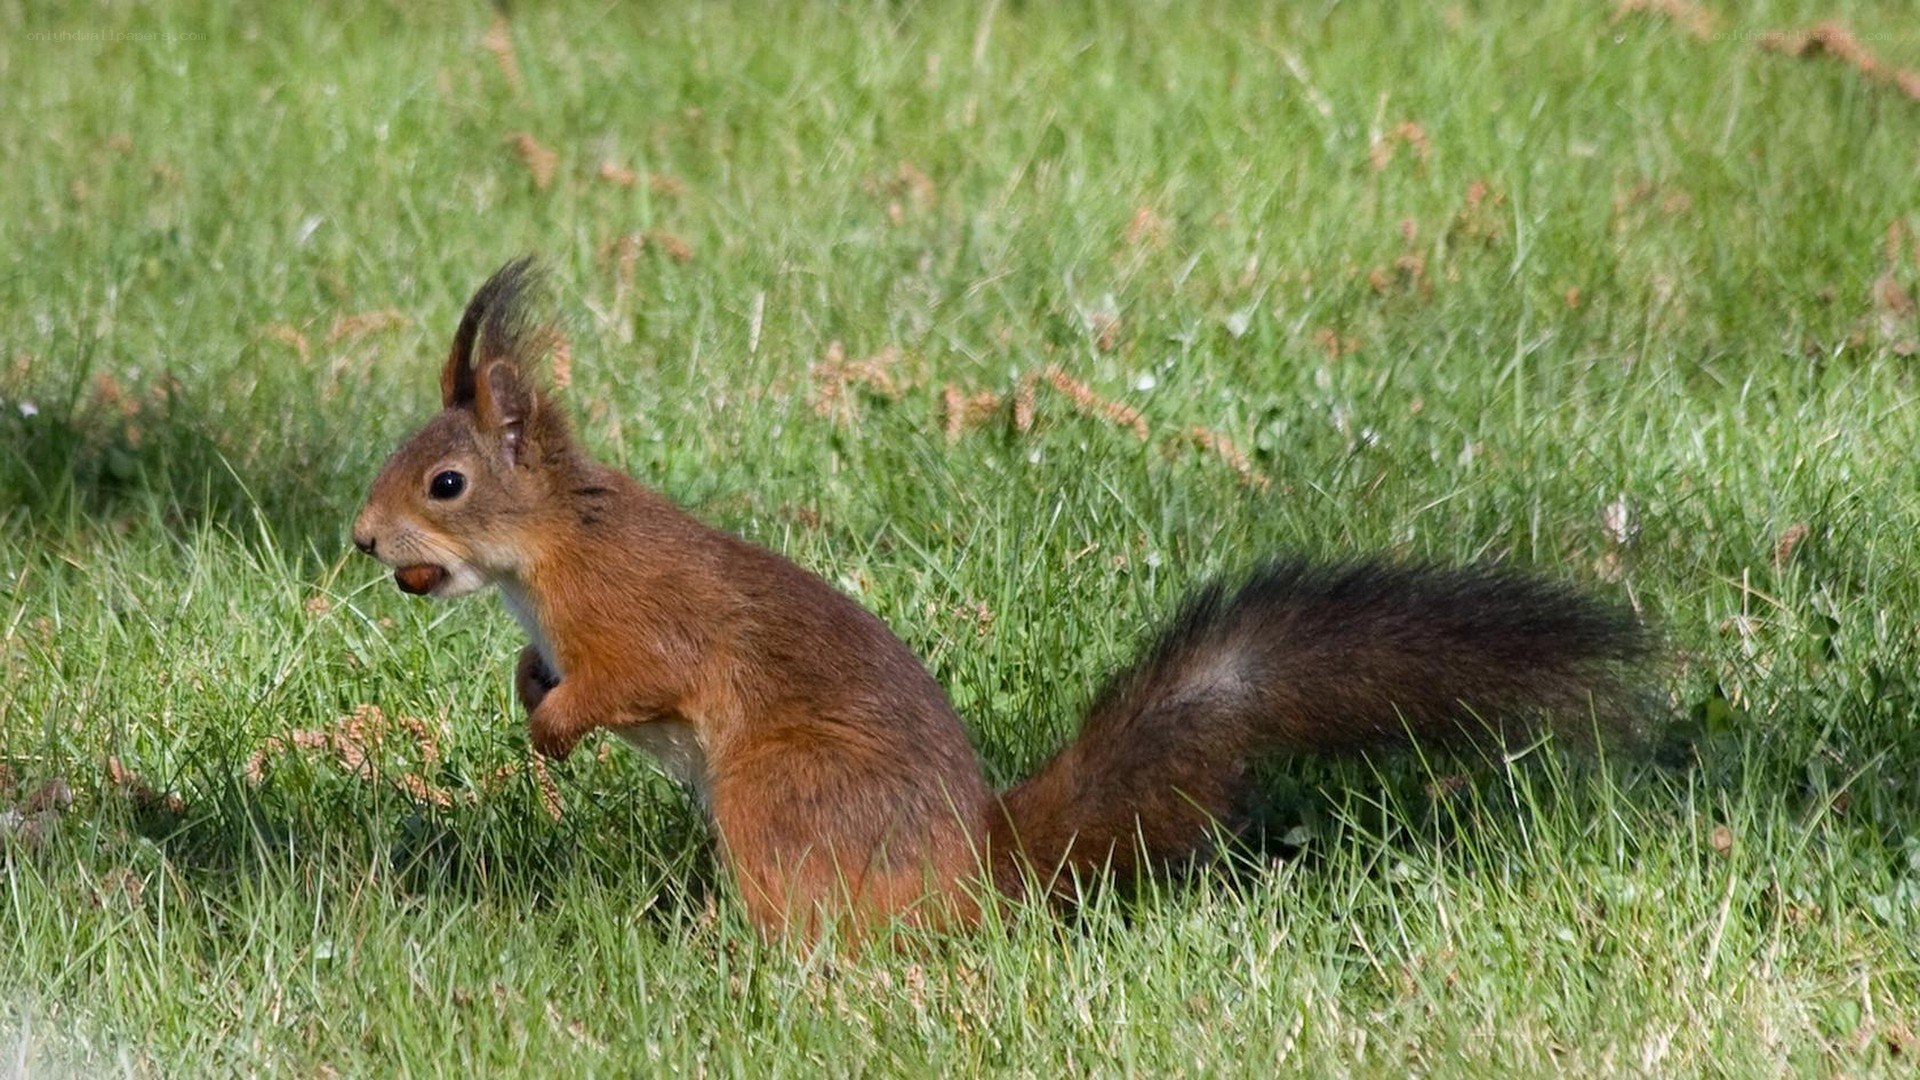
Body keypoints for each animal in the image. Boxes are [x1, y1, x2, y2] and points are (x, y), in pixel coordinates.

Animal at [352, 259, 1651, 940]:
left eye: (446, 483)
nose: (364, 540)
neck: (551, 547)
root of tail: (978, 869)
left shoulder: (636, 616)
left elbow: (635, 678)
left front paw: (554, 728)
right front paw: (528, 686)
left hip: (781, 794)